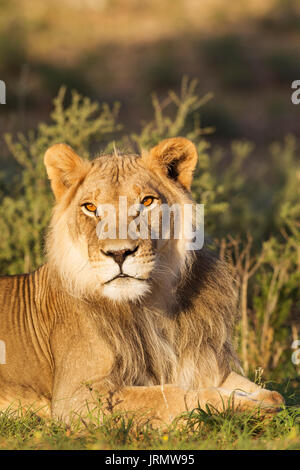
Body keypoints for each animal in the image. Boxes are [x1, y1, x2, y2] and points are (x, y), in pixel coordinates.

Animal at [0, 138, 284, 424]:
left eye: (147, 201)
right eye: (90, 207)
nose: (119, 253)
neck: (148, 307)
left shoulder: (204, 364)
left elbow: (266, 391)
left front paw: (262, 400)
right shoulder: (76, 396)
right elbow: (170, 395)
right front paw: (244, 407)